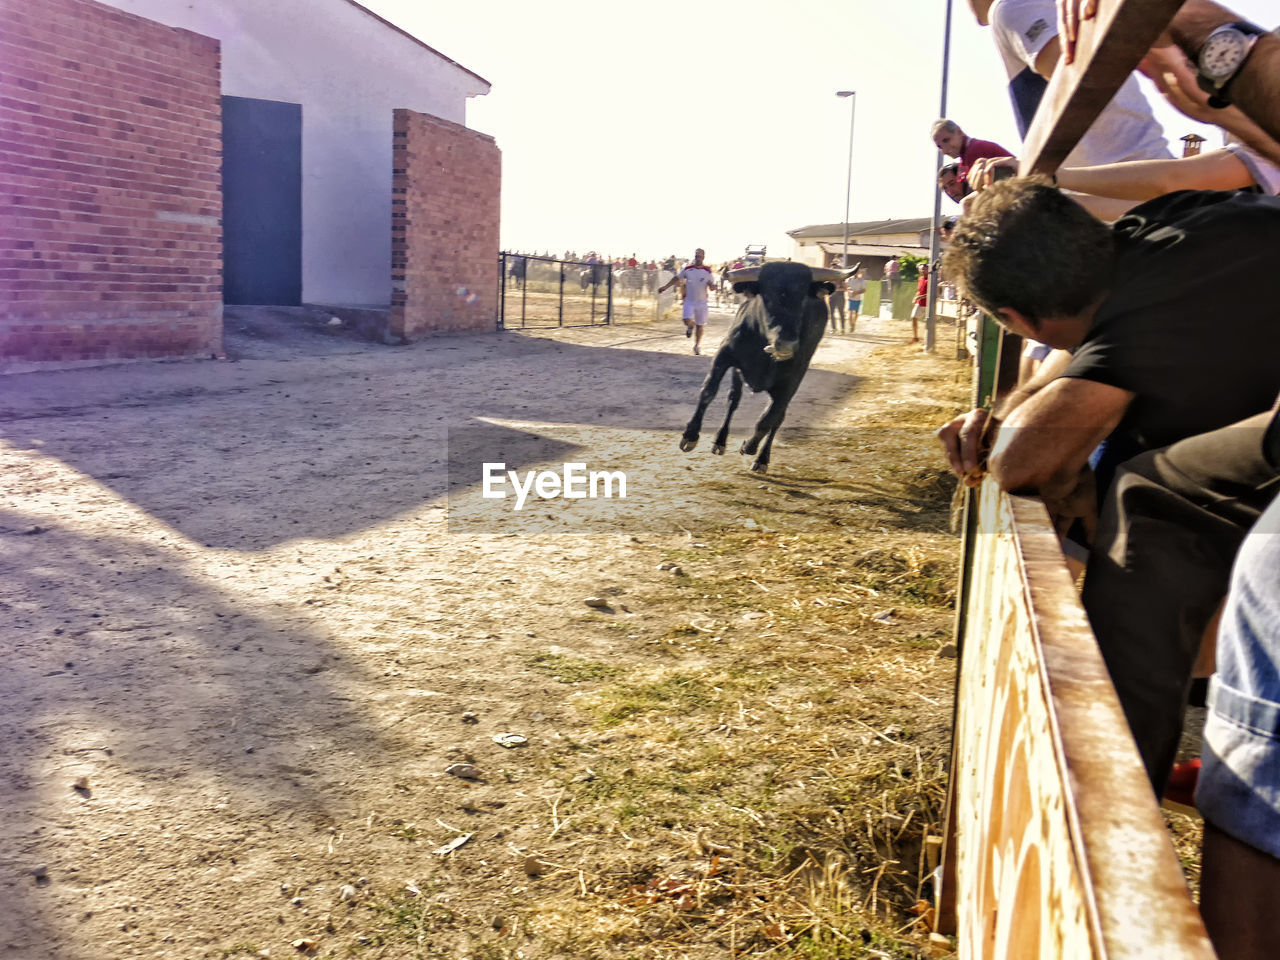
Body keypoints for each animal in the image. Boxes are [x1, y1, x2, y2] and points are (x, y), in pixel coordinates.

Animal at [675, 261, 844, 476]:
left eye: (802, 300)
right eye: (768, 297)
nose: (786, 344)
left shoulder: (793, 378)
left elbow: (769, 418)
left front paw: (750, 446)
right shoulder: (725, 354)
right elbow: (708, 391)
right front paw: (690, 435)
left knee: (777, 417)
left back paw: (762, 459)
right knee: (733, 400)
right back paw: (720, 441)